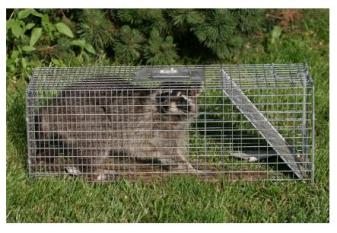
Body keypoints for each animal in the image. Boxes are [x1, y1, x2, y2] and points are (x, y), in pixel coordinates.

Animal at [34, 77, 202, 181]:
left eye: (181, 99)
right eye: (165, 94)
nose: (166, 105)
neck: (174, 116)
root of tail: (54, 105)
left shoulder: (176, 129)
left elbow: (163, 150)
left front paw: (176, 164)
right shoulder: (157, 127)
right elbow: (169, 150)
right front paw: (189, 167)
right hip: (85, 114)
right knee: (100, 136)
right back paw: (93, 171)